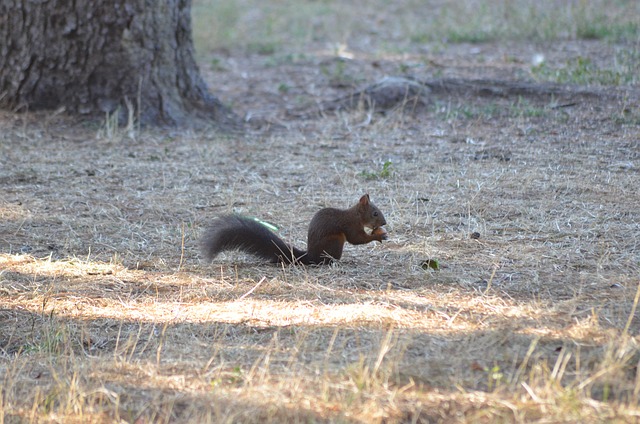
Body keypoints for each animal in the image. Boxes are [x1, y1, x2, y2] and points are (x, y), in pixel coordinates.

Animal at [202, 193, 388, 264]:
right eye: (375, 213)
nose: (384, 223)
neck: (356, 215)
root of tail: (310, 256)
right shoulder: (350, 225)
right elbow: (356, 239)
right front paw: (378, 236)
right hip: (335, 241)